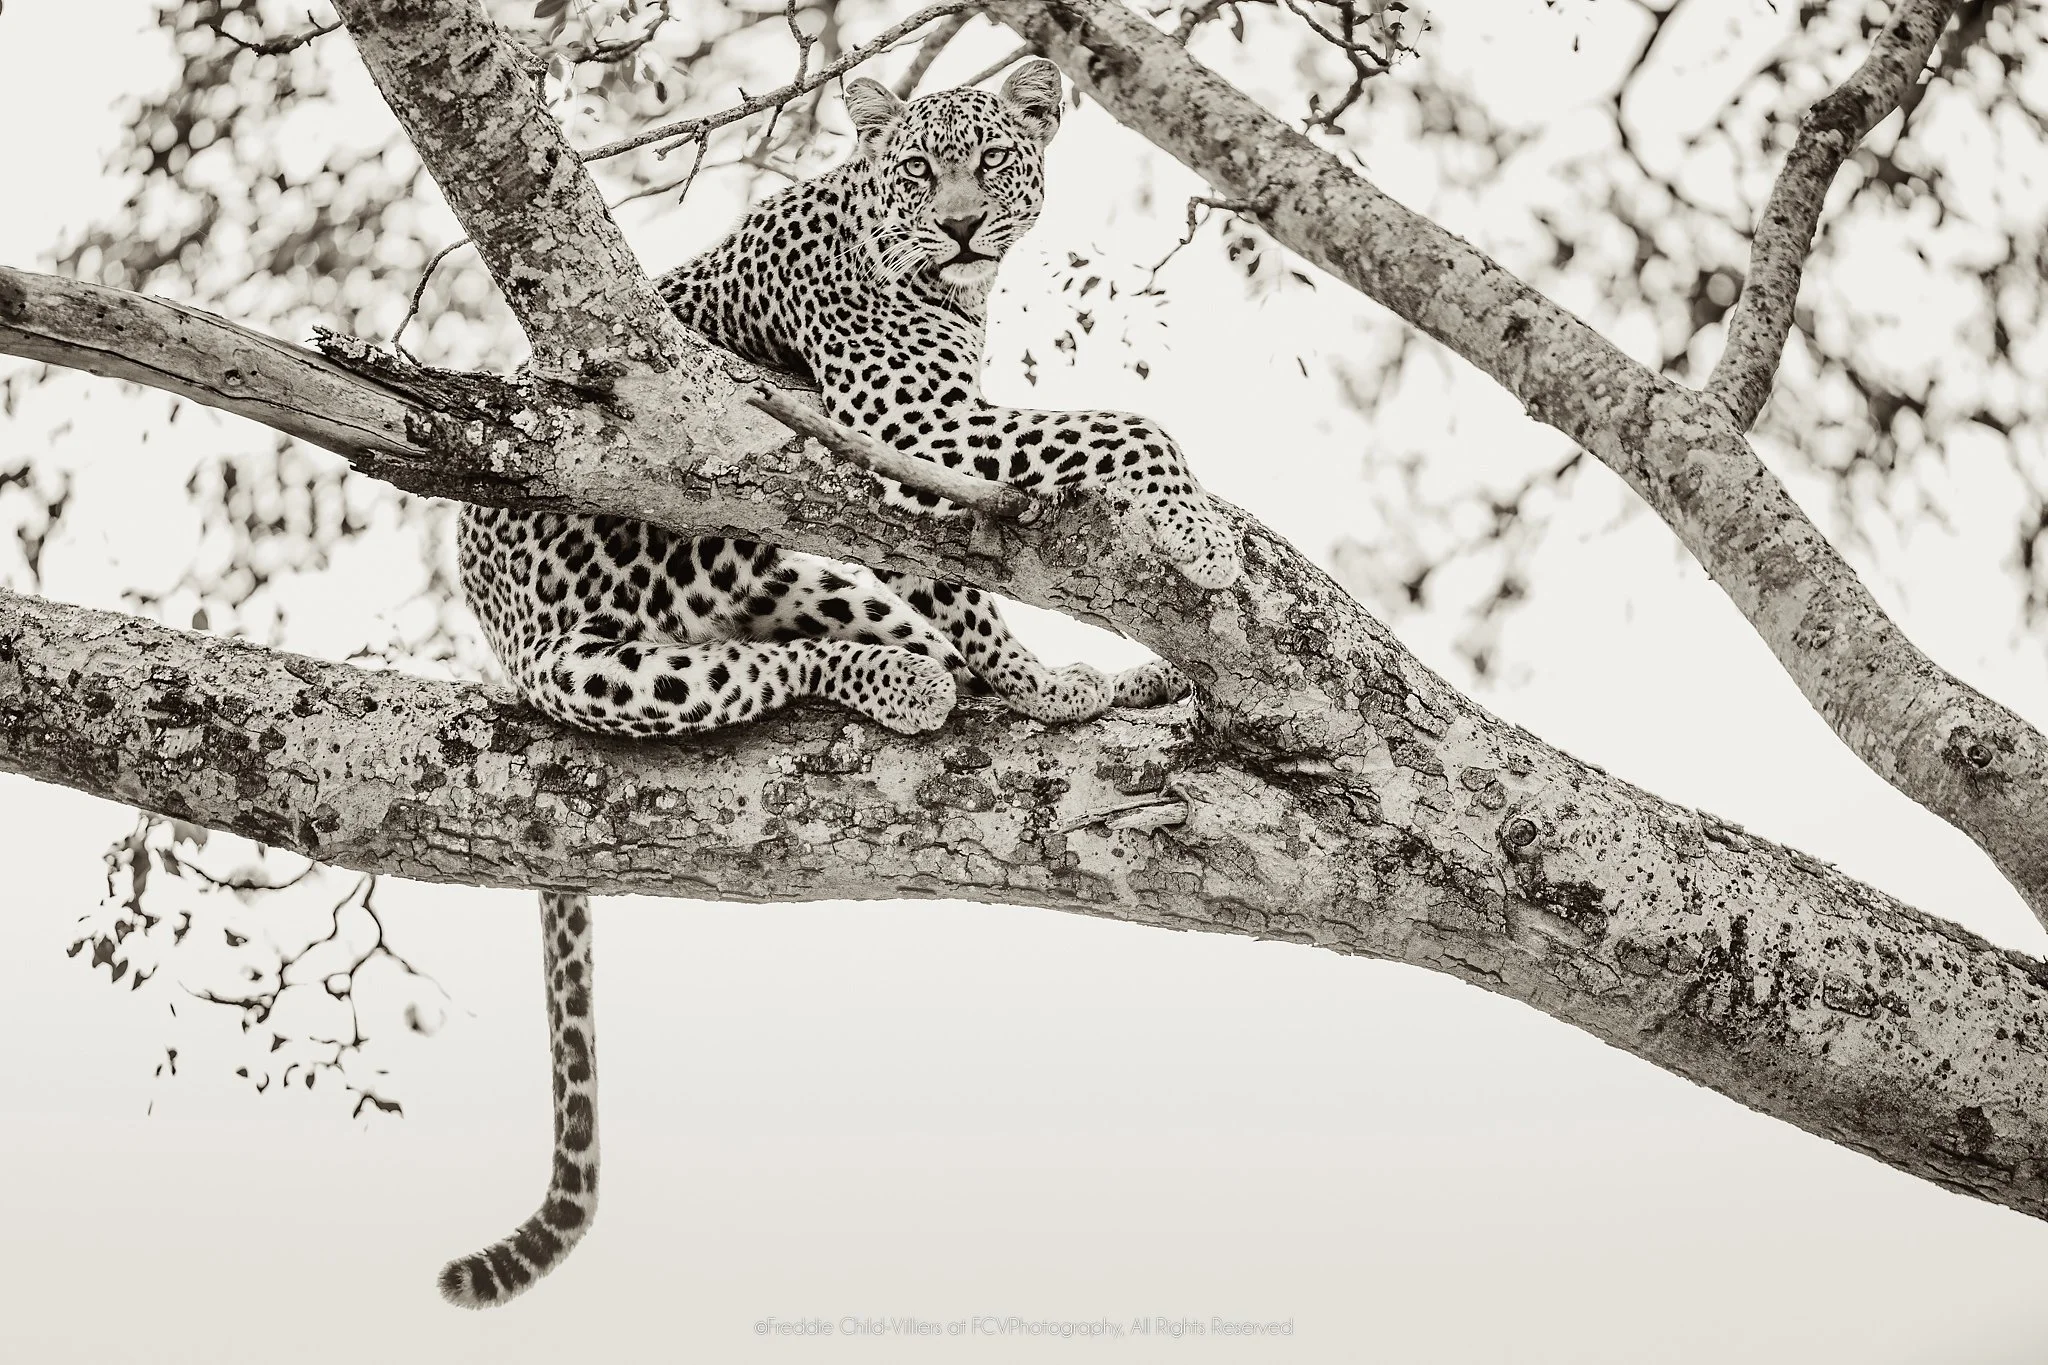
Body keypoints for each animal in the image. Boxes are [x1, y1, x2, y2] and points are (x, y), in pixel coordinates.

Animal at [437, 59, 1242, 1308]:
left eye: (988, 161)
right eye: (917, 169)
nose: (957, 227)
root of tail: (491, 621)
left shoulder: (916, 456)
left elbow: (970, 588)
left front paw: (1055, 682)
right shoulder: (907, 422)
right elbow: (1125, 421)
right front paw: (1202, 537)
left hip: (776, 564)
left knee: (877, 629)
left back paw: (1072, 683)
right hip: (637, 610)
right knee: (753, 664)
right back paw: (908, 687)